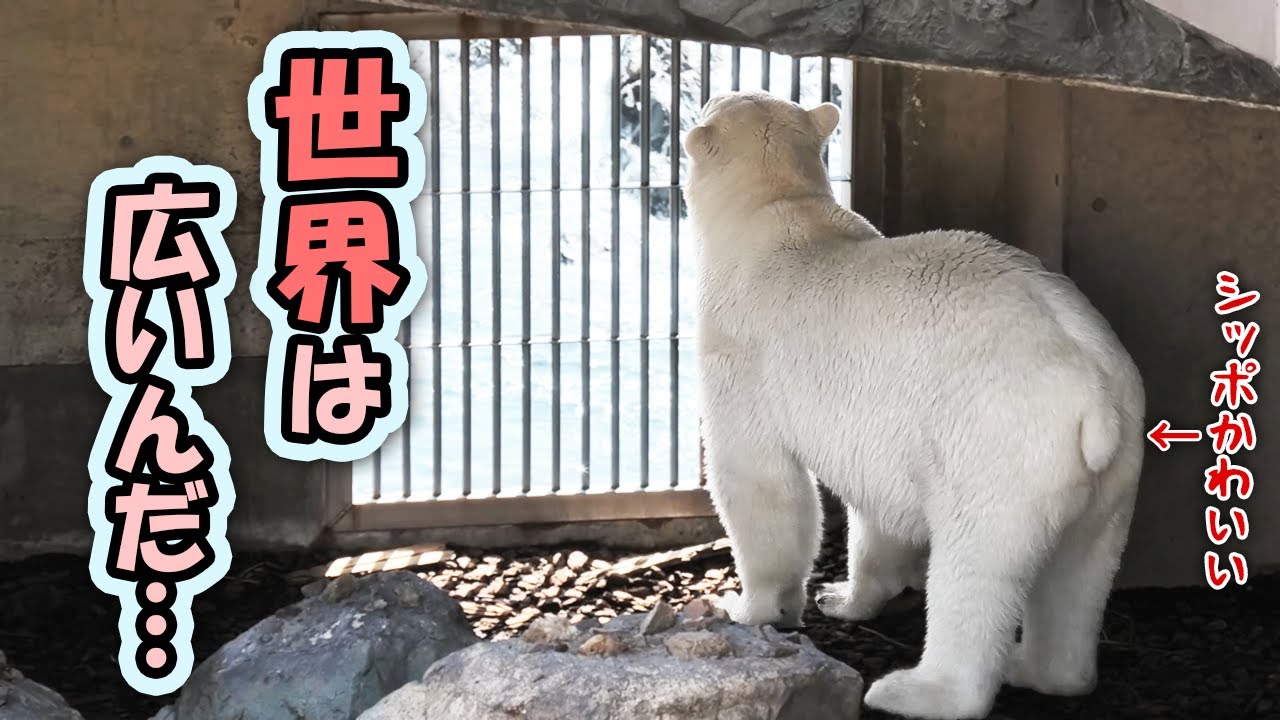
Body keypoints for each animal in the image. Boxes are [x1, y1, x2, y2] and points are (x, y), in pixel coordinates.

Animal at [682, 91, 1145, 720]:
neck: (777, 212)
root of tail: (1092, 390)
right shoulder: (884, 423)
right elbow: (877, 509)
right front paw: (842, 598)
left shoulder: (742, 353)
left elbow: (761, 484)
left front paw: (751, 607)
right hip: (1117, 468)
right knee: (1081, 569)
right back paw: (1041, 669)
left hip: (998, 441)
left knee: (976, 567)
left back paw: (916, 688)